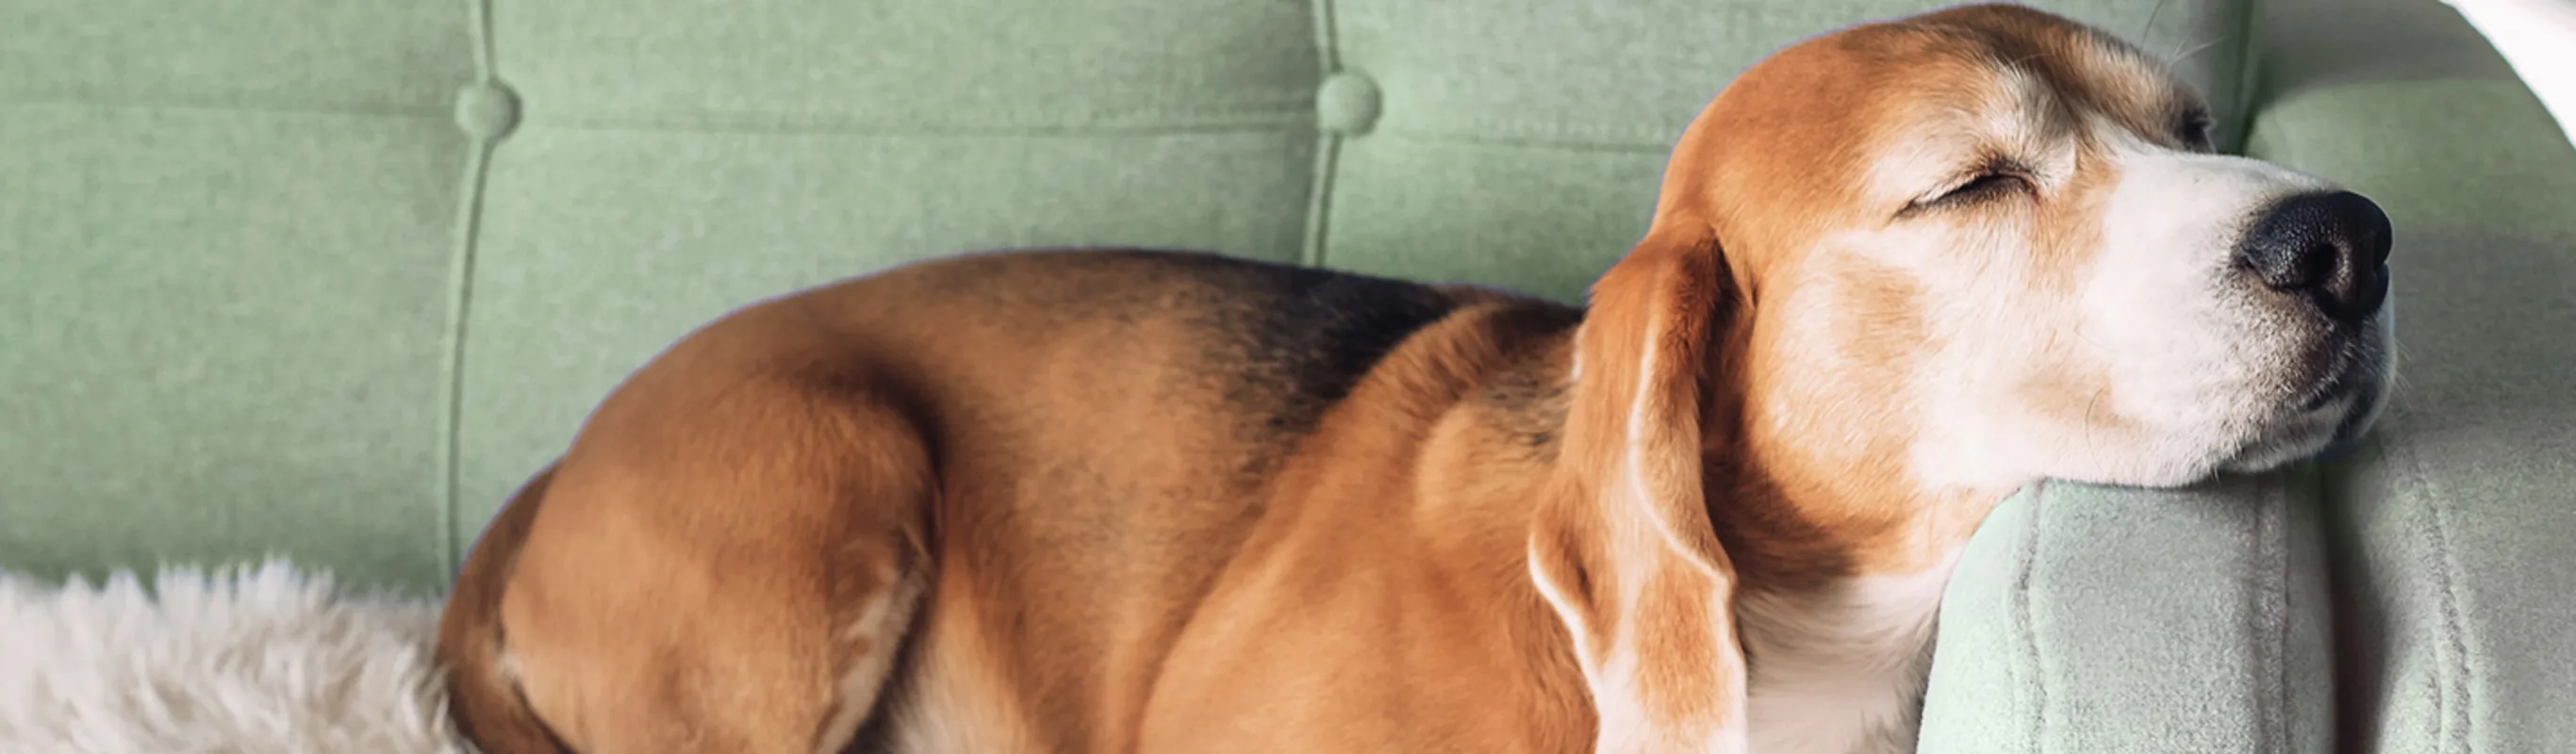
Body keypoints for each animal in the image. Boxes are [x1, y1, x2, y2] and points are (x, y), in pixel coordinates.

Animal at [438, 3, 2390, 746]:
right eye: (1967, 185)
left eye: (2191, 128)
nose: (2350, 241)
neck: (1803, 647)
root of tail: (546, 476)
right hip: (824, 472)